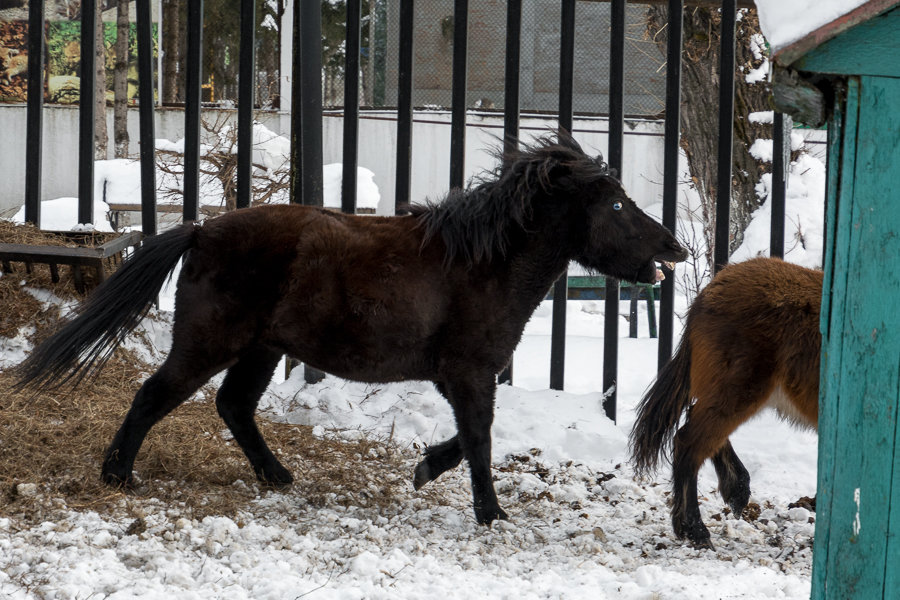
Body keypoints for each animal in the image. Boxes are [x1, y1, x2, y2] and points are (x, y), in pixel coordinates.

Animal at [17, 132, 684, 524]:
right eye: (617, 205)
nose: (675, 249)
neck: (482, 262)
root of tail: (202, 230)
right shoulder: (467, 372)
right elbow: (479, 438)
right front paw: (490, 513)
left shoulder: (462, 375)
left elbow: (468, 438)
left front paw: (426, 470)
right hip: (211, 342)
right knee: (154, 395)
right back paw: (118, 475)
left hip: (260, 349)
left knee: (234, 406)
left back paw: (278, 477)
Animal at [628, 258, 820, 548]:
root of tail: (711, 288)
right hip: (739, 390)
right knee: (688, 442)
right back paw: (695, 530)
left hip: (733, 392)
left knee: (697, 426)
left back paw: (735, 490)